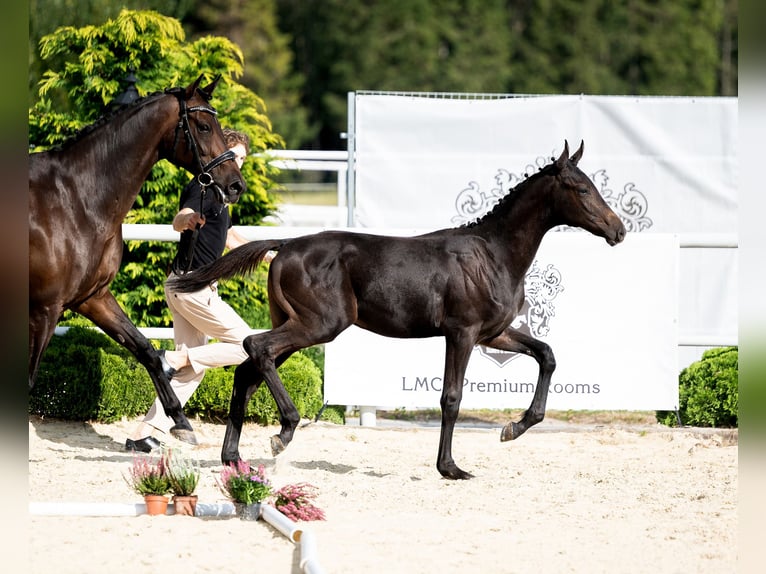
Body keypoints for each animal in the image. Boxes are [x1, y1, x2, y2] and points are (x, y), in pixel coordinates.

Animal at [28, 75, 244, 446]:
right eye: (203, 126)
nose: (235, 185)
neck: (76, 200)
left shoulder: (92, 298)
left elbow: (146, 349)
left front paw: (180, 421)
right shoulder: (44, 310)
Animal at [168, 141, 624, 476]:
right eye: (582, 189)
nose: (618, 230)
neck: (493, 254)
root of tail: (288, 244)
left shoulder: (493, 333)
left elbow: (546, 354)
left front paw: (514, 428)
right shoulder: (462, 333)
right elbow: (452, 396)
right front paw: (450, 467)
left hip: (297, 324)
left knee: (248, 369)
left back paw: (233, 457)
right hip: (320, 325)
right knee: (255, 347)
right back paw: (285, 430)